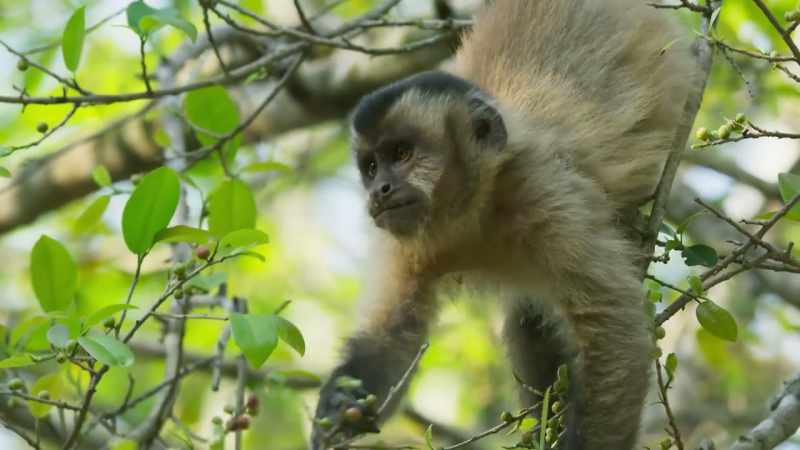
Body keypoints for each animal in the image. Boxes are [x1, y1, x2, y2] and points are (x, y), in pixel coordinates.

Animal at [311, 1, 693, 449]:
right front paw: (340, 404)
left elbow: (615, 335)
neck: (474, 212)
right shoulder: (403, 238)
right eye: (371, 167)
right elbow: (392, 332)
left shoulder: (541, 187)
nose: (380, 190)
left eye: (402, 154)